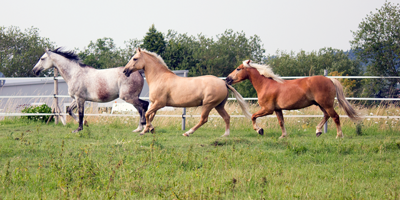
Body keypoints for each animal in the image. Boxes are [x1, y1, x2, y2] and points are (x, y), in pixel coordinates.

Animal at [122, 47, 250, 137]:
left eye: (135, 58)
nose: (125, 71)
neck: (159, 78)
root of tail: (223, 83)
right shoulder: (154, 103)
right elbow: (150, 115)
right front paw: (146, 130)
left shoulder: (159, 103)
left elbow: (147, 114)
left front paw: (149, 129)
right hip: (219, 105)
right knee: (227, 117)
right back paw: (225, 135)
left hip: (208, 104)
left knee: (204, 119)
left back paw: (188, 132)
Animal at [227, 60, 360, 138]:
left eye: (238, 68)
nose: (227, 79)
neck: (266, 85)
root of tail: (329, 79)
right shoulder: (277, 109)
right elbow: (281, 122)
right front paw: (283, 136)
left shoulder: (267, 109)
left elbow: (253, 116)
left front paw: (259, 130)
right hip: (321, 104)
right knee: (327, 115)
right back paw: (318, 131)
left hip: (326, 104)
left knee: (335, 117)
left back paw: (339, 136)